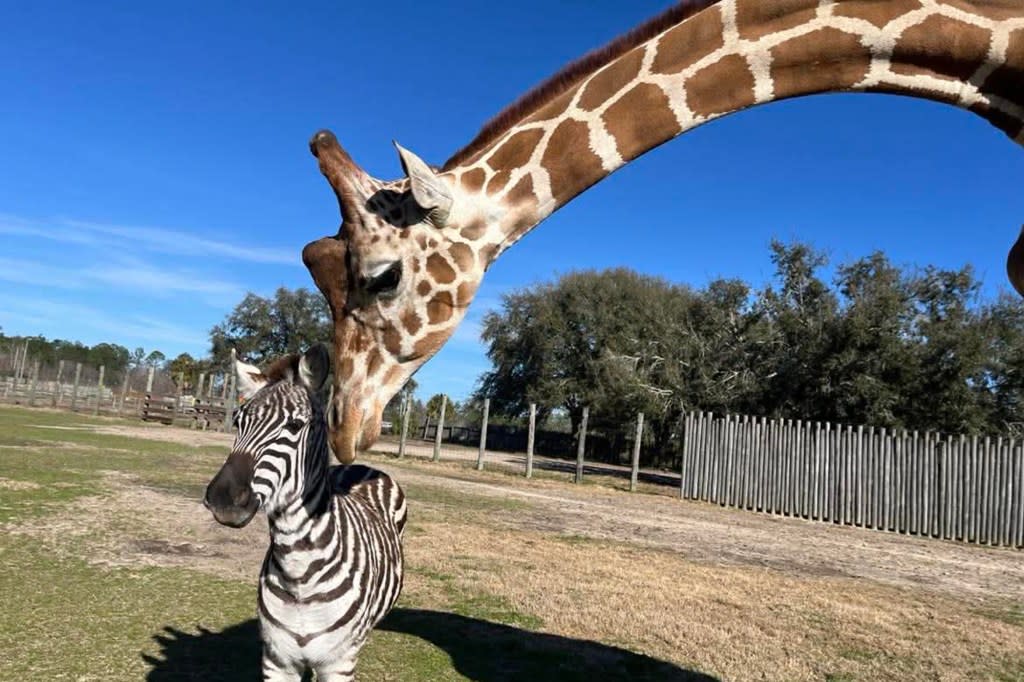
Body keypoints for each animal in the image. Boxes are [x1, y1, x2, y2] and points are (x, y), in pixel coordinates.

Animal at [204, 344, 406, 681]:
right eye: (237, 422)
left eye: (295, 426)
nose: (222, 499)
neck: (298, 571)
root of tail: (360, 467)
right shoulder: (277, 660)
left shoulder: (338, 664)